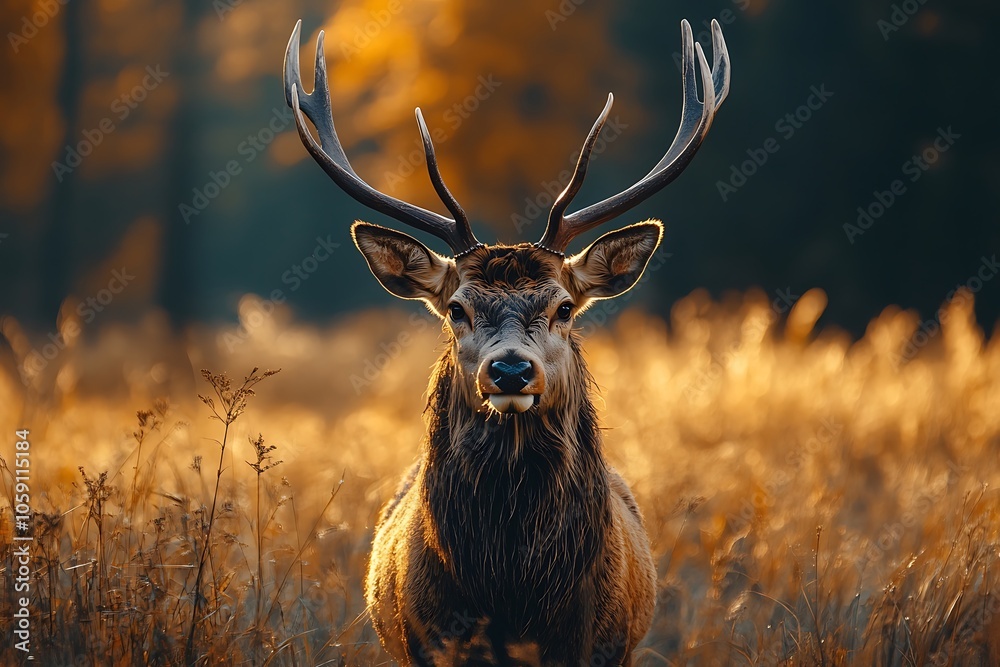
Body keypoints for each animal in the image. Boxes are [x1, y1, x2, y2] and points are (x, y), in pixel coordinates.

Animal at [286, 17, 732, 667]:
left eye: (564, 307)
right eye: (456, 309)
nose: (511, 372)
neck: (513, 598)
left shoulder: (598, 644)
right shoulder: (430, 643)